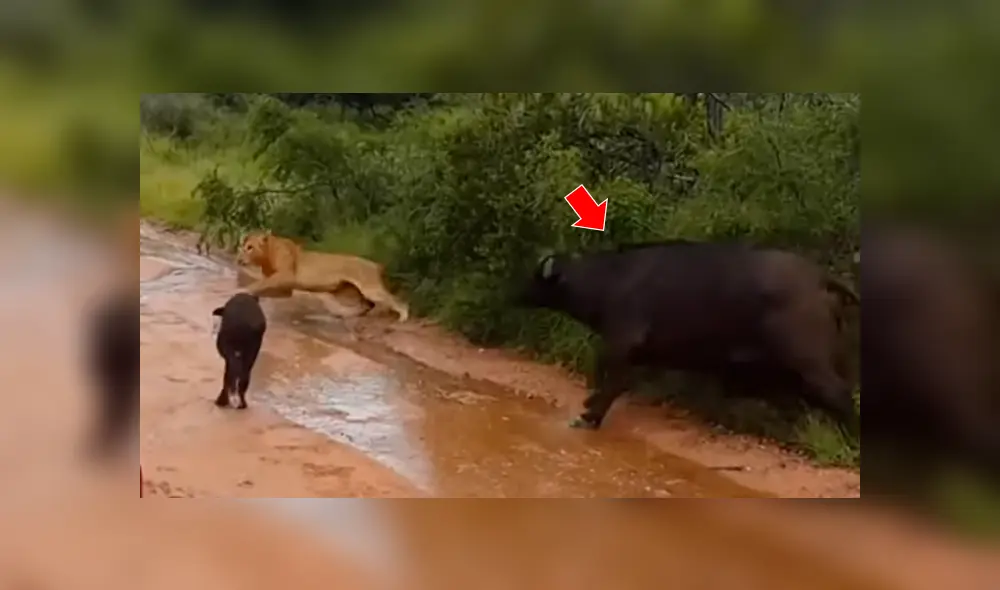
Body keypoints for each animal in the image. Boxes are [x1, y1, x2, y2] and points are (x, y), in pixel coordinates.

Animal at [236, 230, 410, 322]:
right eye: (242, 247)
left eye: (250, 247)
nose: (238, 259)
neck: (266, 257)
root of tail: (376, 265)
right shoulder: (285, 289)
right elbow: (264, 287)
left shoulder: (286, 276)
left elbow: (259, 283)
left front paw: (241, 290)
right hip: (351, 291)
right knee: (366, 305)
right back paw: (347, 315)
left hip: (370, 289)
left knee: (397, 301)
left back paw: (402, 318)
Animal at [517, 240, 859, 432]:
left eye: (535, 277)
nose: (516, 291)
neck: (612, 279)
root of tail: (820, 278)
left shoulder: (622, 345)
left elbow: (610, 382)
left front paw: (589, 416)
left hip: (809, 363)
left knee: (840, 395)